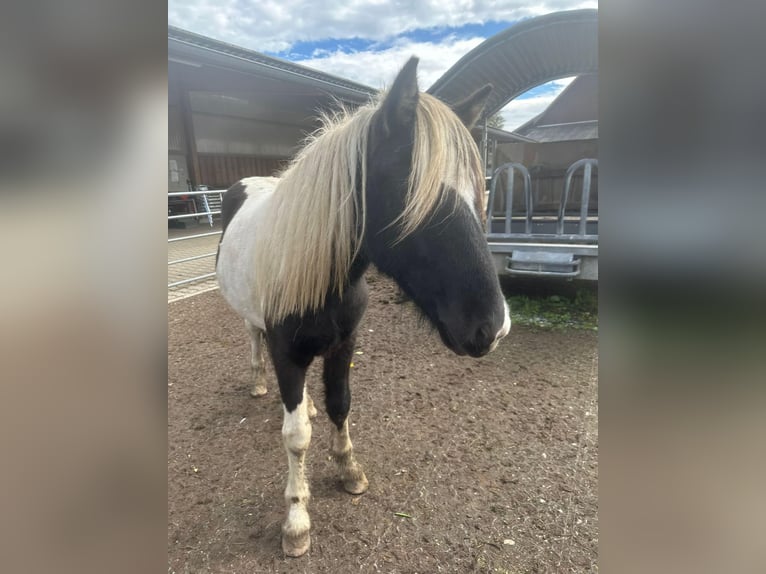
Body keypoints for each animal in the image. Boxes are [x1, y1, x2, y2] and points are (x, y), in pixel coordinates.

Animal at [215, 57, 511, 557]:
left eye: (479, 194)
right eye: (414, 196)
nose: (493, 328)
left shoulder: (344, 344)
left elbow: (340, 405)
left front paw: (349, 469)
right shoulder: (286, 353)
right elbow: (295, 438)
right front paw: (297, 519)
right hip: (254, 326)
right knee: (253, 340)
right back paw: (257, 383)